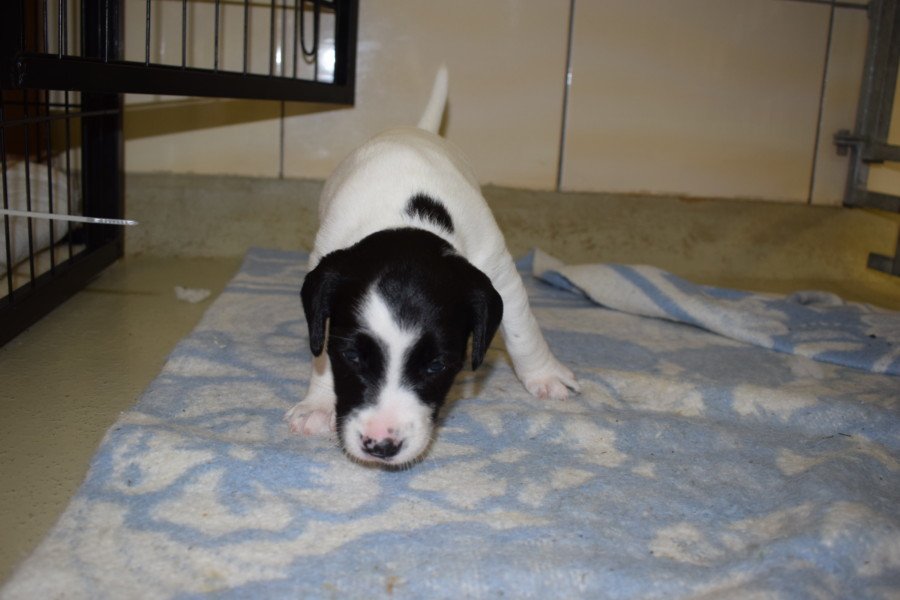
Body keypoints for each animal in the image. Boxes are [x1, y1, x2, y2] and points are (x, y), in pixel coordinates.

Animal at [285, 66, 579, 467]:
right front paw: (317, 402)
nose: (381, 445)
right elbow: (321, 352)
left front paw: (545, 375)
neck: (404, 217)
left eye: (436, 365)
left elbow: (522, 329)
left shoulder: (497, 269)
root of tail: (417, 129)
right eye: (352, 357)